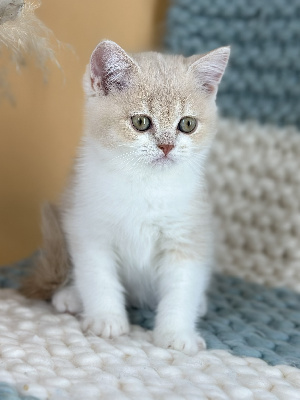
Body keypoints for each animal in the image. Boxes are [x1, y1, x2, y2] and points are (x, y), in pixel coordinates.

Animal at [23, 39, 230, 354]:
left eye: (187, 124)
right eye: (141, 122)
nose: (167, 146)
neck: (144, 185)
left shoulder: (188, 234)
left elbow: (181, 288)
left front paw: (176, 334)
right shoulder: (89, 229)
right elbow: (98, 276)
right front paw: (106, 319)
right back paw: (72, 296)